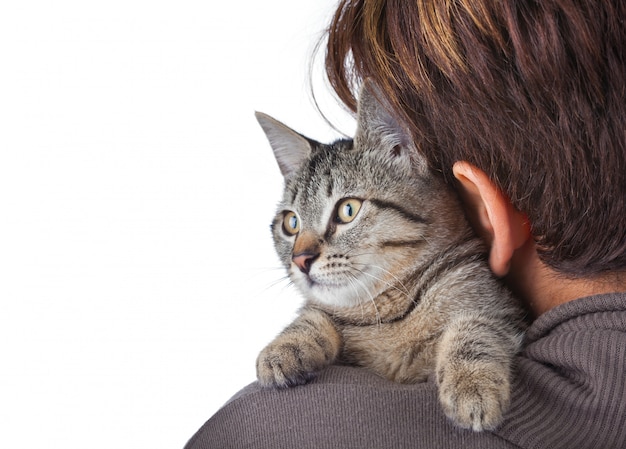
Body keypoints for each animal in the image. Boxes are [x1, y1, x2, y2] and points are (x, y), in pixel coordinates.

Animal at [252, 81, 520, 430]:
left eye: (348, 209)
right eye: (291, 223)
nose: (301, 259)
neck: (385, 311)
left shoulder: (501, 304)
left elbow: (476, 327)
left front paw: (472, 384)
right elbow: (313, 315)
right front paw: (285, 346)